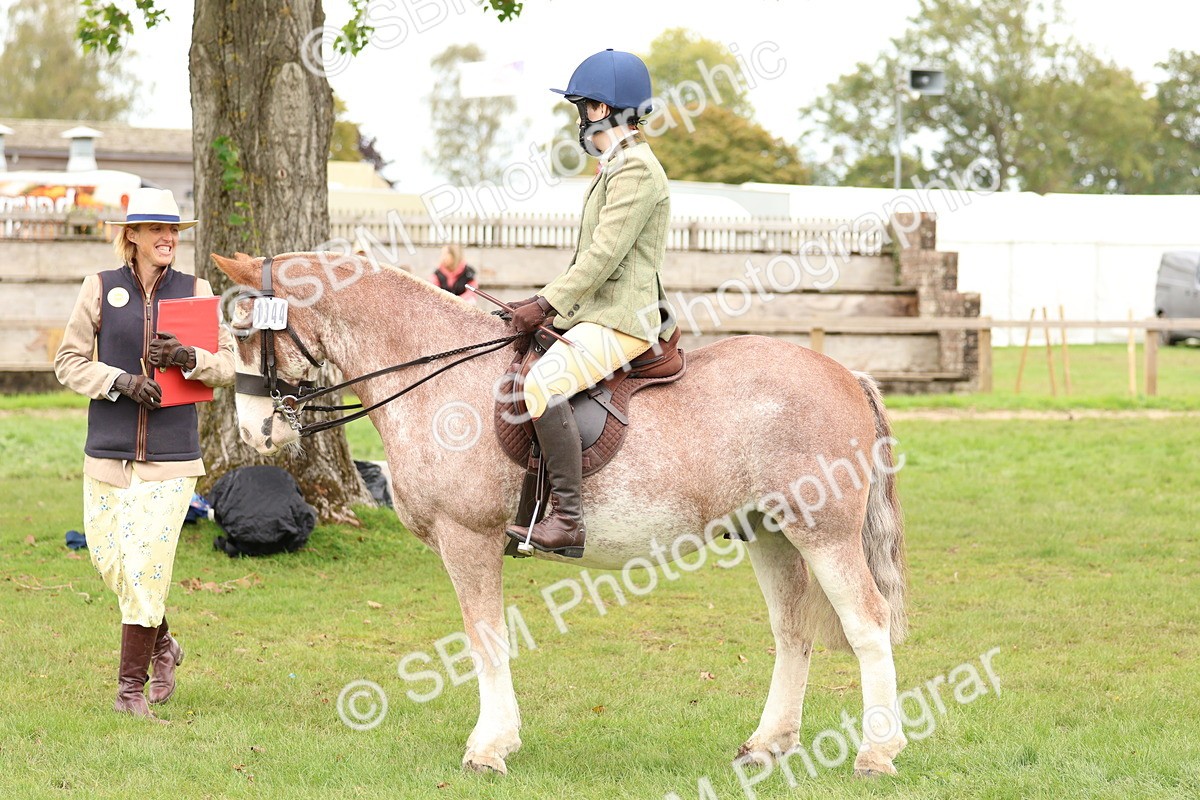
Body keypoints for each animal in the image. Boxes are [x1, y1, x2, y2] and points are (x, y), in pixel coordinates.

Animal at [213, 251, 910, 777]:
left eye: (247, 332)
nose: (255, 432)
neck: (436, 373)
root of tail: (845, 373)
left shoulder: (468, 538)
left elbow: (485, 638)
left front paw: (489, 748)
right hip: (771, 534)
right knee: (793, 630)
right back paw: (768, 745)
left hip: (823, 534)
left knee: (866, 623)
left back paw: (877, 754)